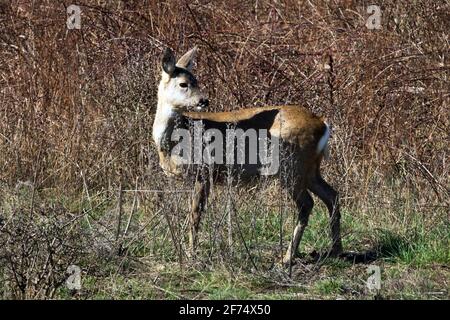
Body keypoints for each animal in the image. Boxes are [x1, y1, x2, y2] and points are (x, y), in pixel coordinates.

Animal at [153, 45, 342, 264]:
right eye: (184, 83)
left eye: (197, 80)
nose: (204, 100)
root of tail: (322, 124)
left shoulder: (204, 170)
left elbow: (195, 213)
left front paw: (191, 253)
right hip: (310, 168)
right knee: (331, 195)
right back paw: (336, 249)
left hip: (291, 165)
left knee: (306, 204)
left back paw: (287, 257)